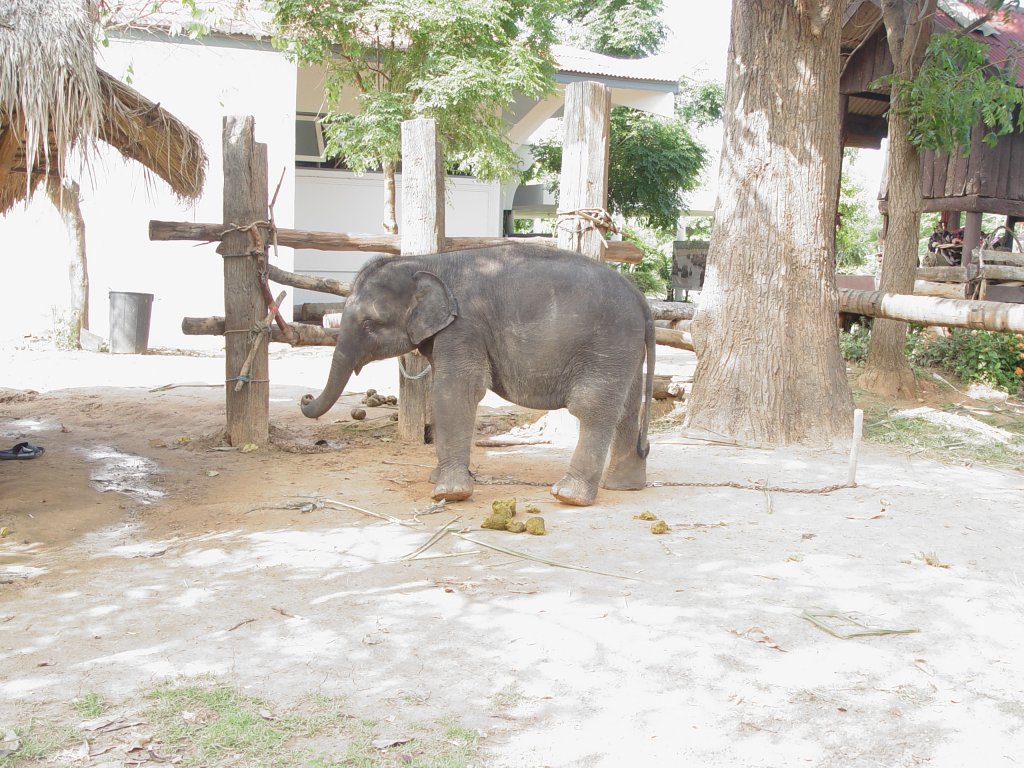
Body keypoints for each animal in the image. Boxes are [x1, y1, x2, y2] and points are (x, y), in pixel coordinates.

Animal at [303, 243, 655, 507]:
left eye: (369, 323)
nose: (305, 399)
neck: (427, 261)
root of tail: (642, 300)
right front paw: (437, 479)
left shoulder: (464, 326)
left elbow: (457, 391)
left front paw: (449, 493)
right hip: (625, 350)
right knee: (627, 408)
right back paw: (623, 487)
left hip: (608, 344)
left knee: (591, 407)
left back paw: (569, 496)